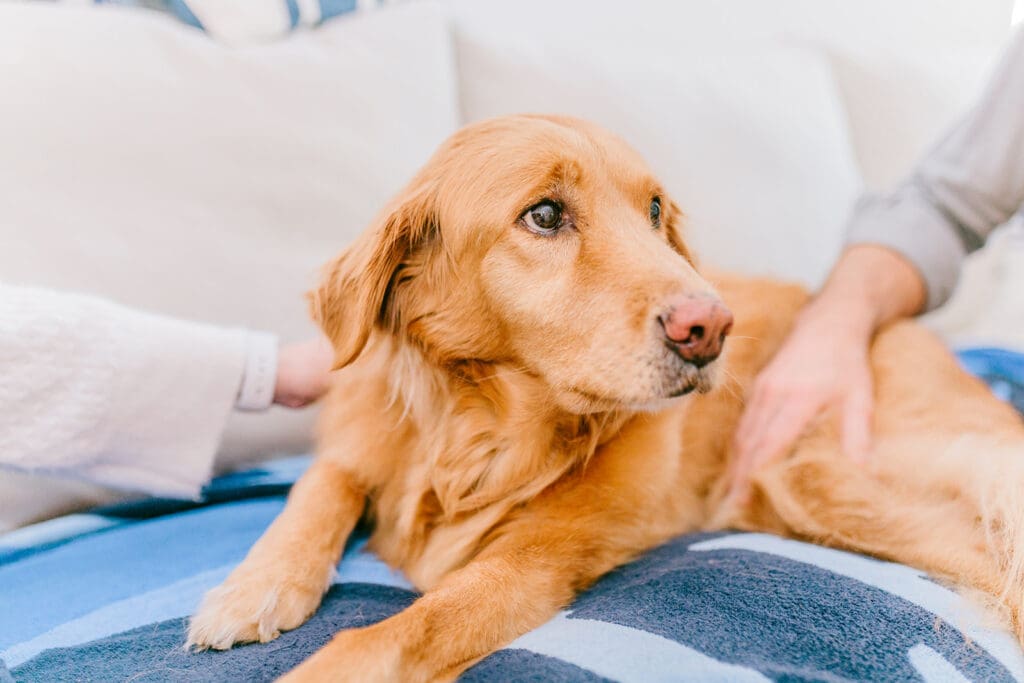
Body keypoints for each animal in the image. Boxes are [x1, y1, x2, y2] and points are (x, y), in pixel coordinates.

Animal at [188, 114, 1024, 679]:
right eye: (545, 214)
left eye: (655, 211)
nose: (711, 328)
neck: (478, 427)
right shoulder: (362, 444)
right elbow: (320, 486)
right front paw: (254, 586)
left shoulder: (533, 560)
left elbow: (404, 630)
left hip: (827, 475)